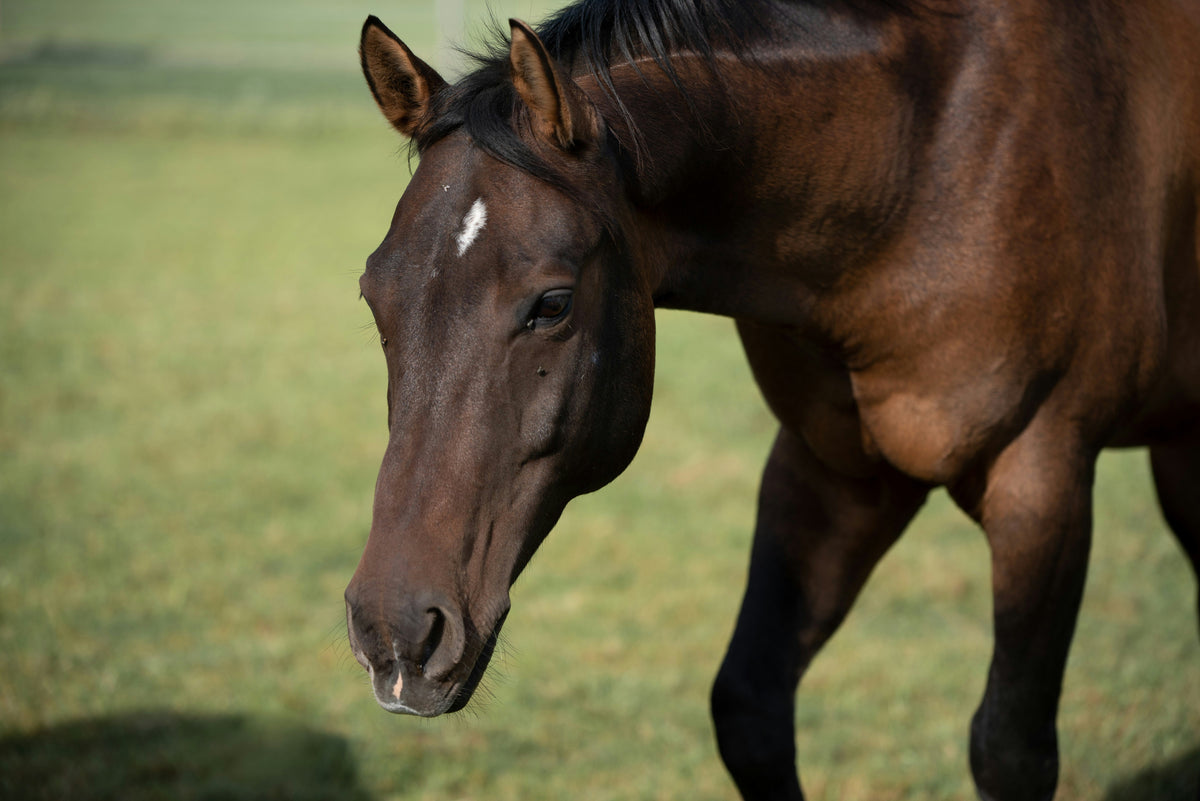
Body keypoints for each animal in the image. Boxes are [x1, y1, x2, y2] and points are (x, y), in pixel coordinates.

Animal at [343, 1, 1200, 798]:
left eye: (551, 304)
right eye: (374, 295)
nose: (396, 632)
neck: (926, 157)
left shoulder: (1043, 479)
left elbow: (1011, 749)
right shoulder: (834, 470)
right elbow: (749, 707)